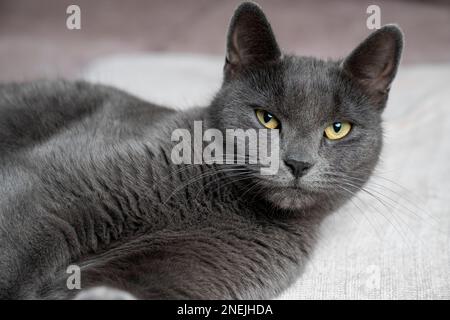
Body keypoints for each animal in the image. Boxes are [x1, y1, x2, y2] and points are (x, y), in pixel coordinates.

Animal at [0, 1, 402, 300]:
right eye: (267, 118)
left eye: (337, 128)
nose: (298, 163)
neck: (220, 202)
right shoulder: (49, 190)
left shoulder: (183, 278)